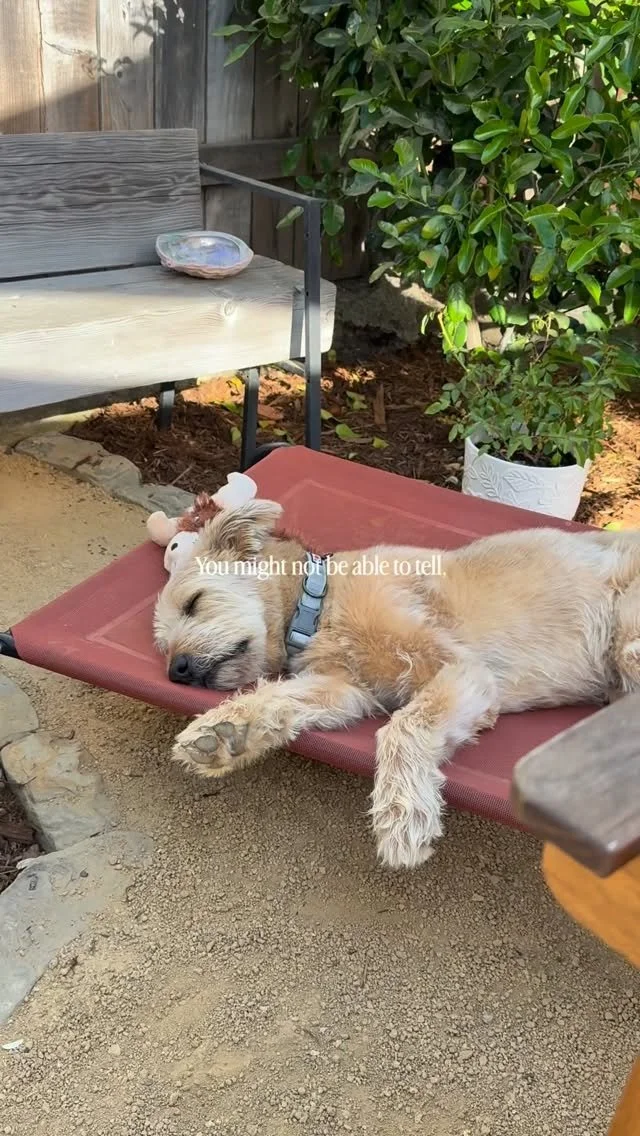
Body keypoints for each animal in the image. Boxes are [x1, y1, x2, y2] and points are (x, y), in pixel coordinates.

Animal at [153, 499, 640, 869]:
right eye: (163, 646)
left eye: (194, 602)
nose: (177, 670)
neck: (320, 604)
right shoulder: (346, 690)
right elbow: (278, 698)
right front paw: (222, 733)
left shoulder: (462, 669)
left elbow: (404, 727)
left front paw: (402, 814)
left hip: (629, 636)